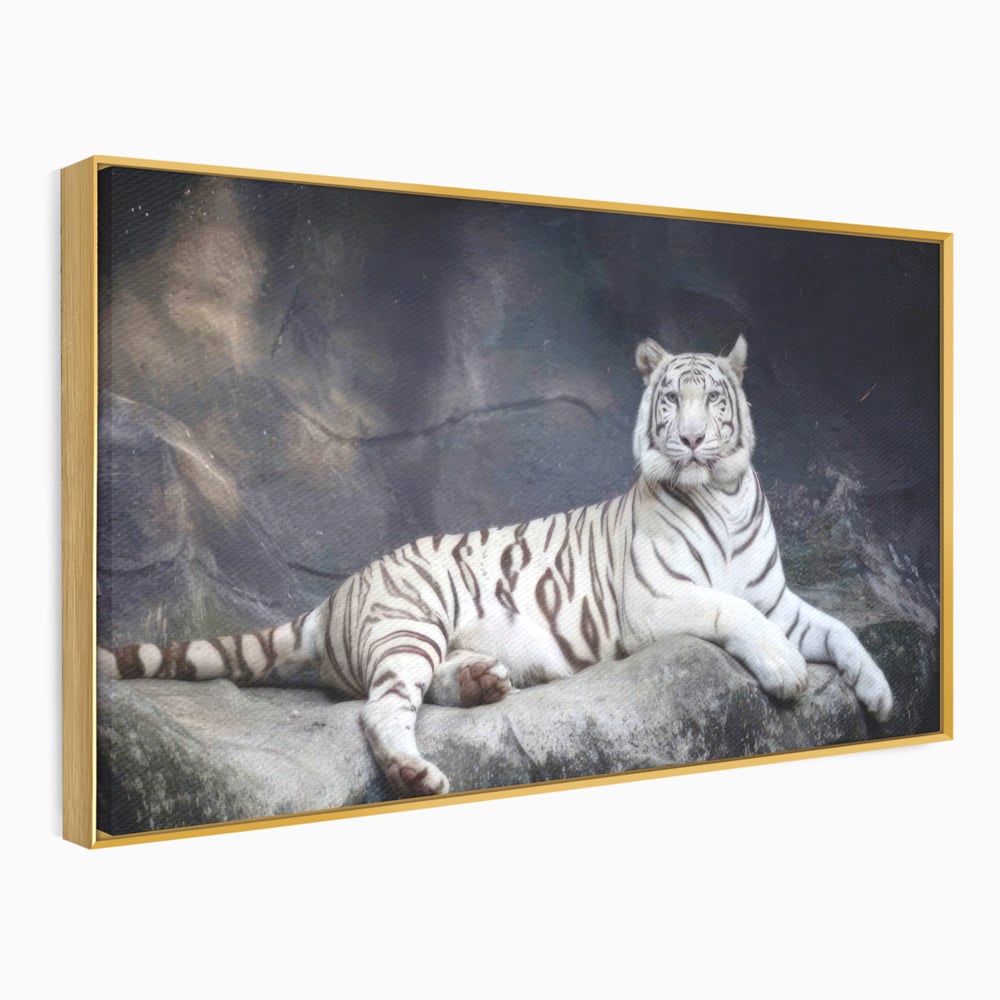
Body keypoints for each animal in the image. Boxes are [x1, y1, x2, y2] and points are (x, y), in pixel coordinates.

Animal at [98, 335, 894, 798]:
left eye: (713, 401)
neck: (721, 494)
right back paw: (415, 771)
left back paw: (483, 682)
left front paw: (881, 695)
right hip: (411, 622)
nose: (694, 440)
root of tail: (337, 595)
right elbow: (738, 612)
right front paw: (787, 670)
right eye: (672, 399)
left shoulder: (778, 595)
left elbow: (838, 630)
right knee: (382, 708)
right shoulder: (657, 600)